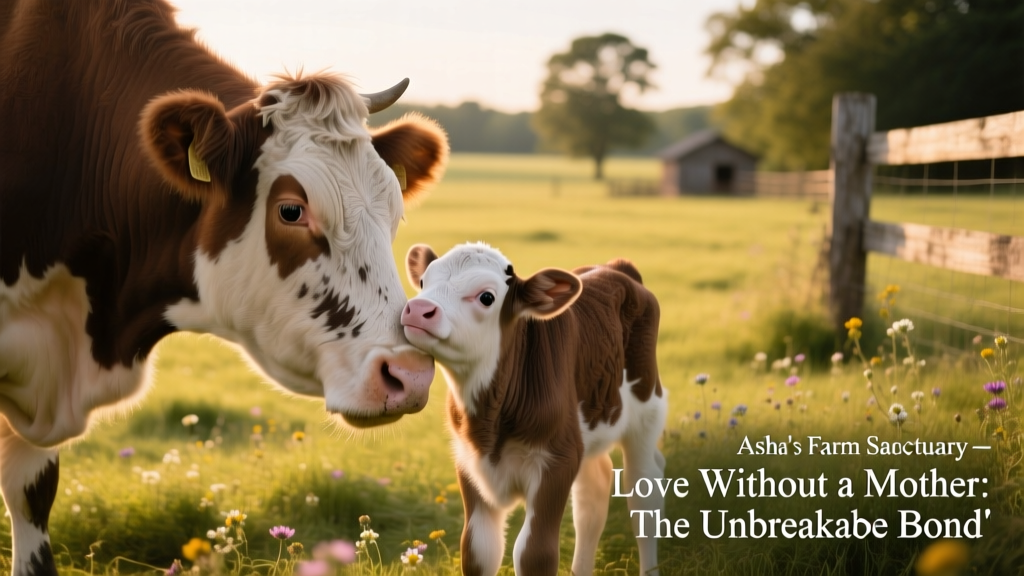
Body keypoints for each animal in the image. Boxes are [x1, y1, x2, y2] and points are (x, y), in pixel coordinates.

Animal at [400, 242, 668, 576]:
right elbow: (477, 550)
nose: (417, 309)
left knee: (643, 495)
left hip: (646, 413)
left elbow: (534, 553)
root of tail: (617, 268)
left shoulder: (558, 459)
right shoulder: (468, 461)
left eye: (486, 297)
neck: (489, 421)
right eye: (424, 281)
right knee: (593, 493)